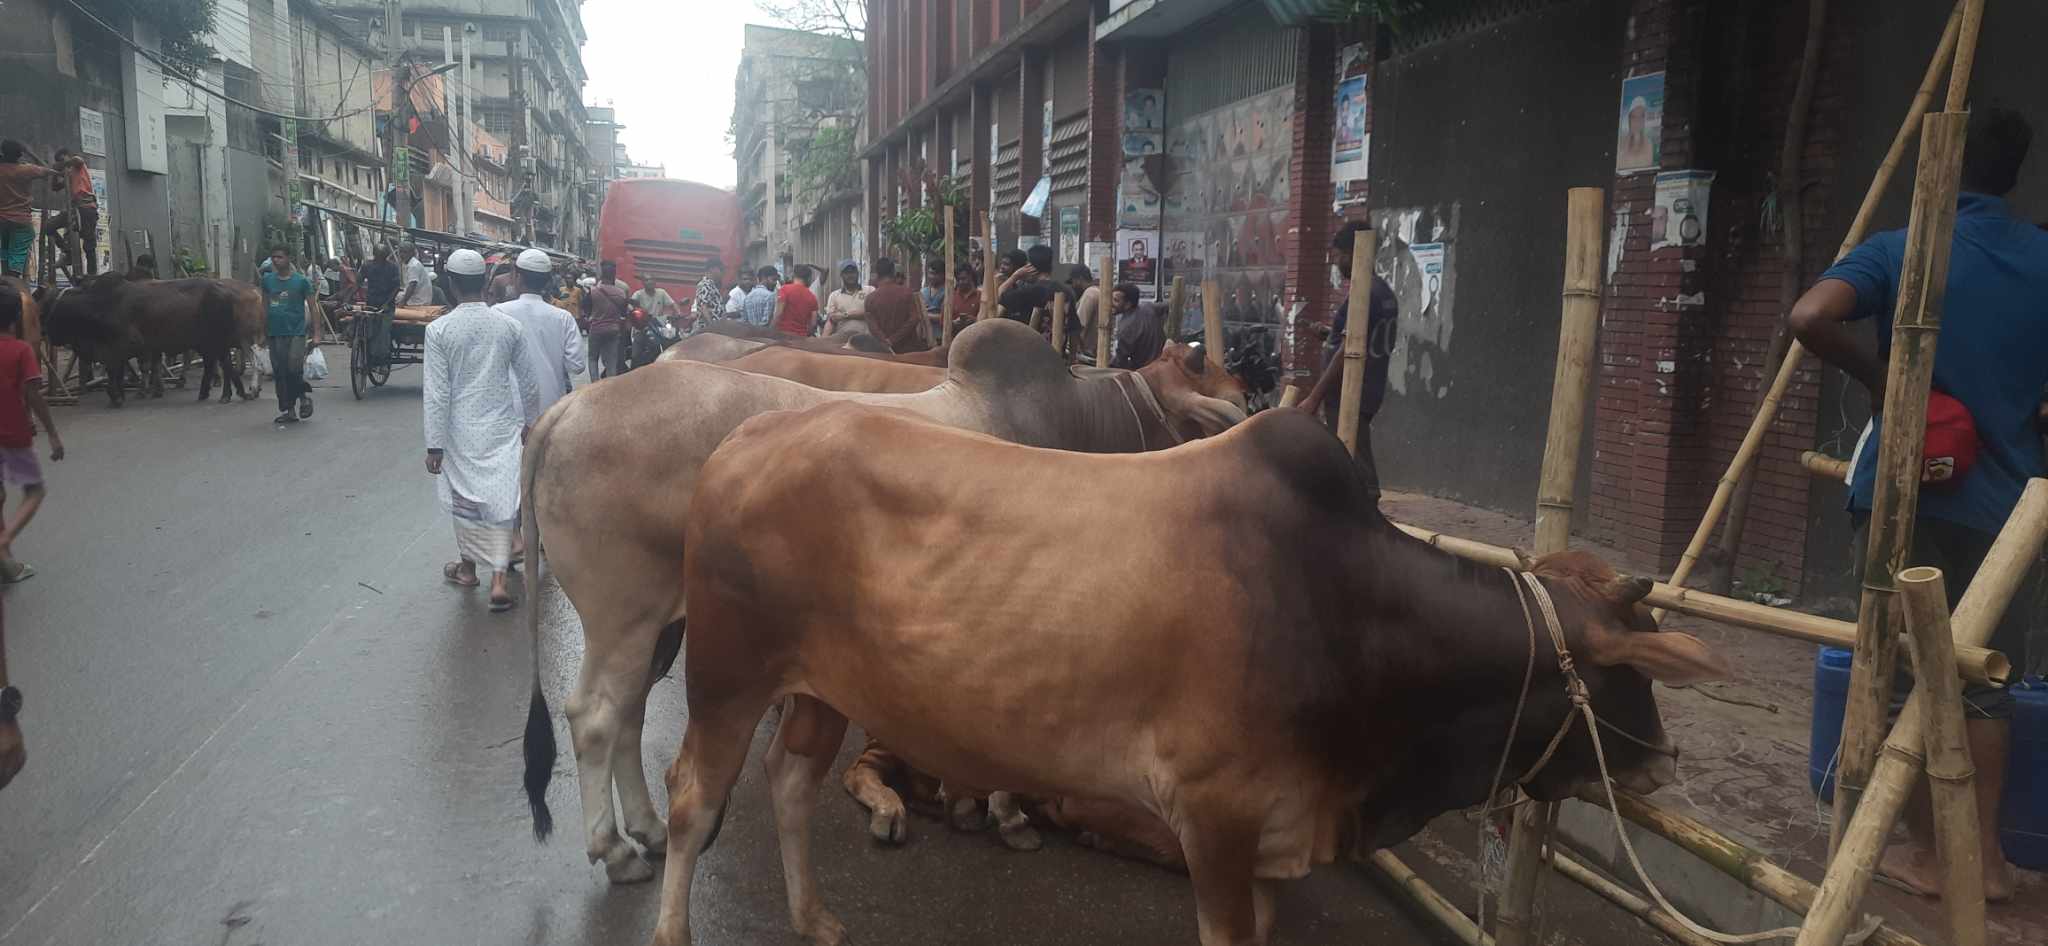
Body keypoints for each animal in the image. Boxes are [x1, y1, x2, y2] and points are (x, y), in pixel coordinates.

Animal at [38, 274, 263, 406]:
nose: (40, 330)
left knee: (224, 364)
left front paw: (116, 396)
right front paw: (123, 394)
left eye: (41, 303)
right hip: (210, 342)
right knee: (218, 365)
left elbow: (114, 371)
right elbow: (119, 372)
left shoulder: (121, 346)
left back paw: (228, 394)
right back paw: (215, 393)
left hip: (217, 340)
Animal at [517, 319, 1247, 884]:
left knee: (630, 710)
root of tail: (564, 412)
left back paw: (648, 828)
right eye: (1199, 368)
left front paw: (963, 803)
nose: (1246, 398)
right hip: (623, 612)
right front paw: (1006, 813)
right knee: (594, 715)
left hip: (656, 621)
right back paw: (615, 850)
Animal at [650, 404, 1728, 946]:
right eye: (1631, 676)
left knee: (791, 785)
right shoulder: (1216, 818)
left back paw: (815, 917)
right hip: (727, 673)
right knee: (692, 798)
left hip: (820, 690)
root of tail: (745, 436)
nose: (1661, 760)